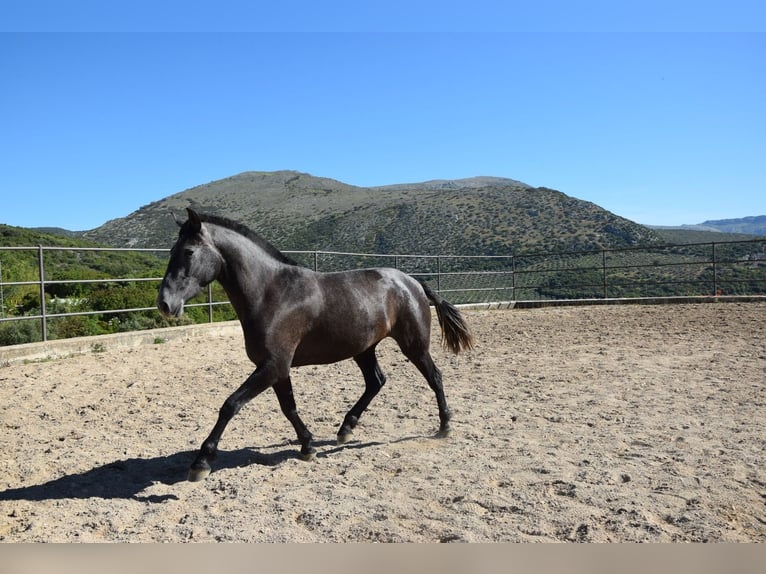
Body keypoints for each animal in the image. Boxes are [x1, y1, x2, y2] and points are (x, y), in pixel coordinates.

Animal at [157, 209, 474, 484]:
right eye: (172, 251)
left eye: (188, 252)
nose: (165, 304)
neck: (272, 293)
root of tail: (412, 282)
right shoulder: (277, 368)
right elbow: (289, 408)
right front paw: (308, 446)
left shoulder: (272, 366)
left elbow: (230, 405)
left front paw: (201, 463)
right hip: (364, 349)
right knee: (376, 381)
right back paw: (345, 429)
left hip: (414, 345)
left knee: (434, 377)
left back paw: (444, 426)